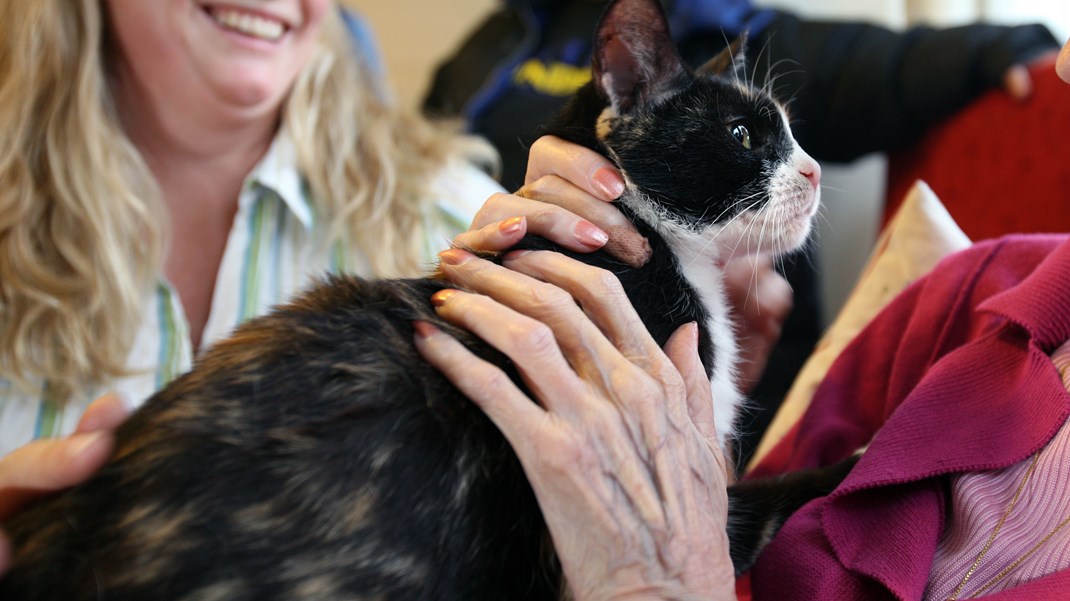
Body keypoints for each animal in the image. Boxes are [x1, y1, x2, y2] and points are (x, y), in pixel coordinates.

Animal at [0, 0, 851, 594]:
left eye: (789, 132)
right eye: (744, 136)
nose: (813, 171)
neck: (667, 260)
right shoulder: (675, 490)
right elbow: (775, 499)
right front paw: (851, 465)